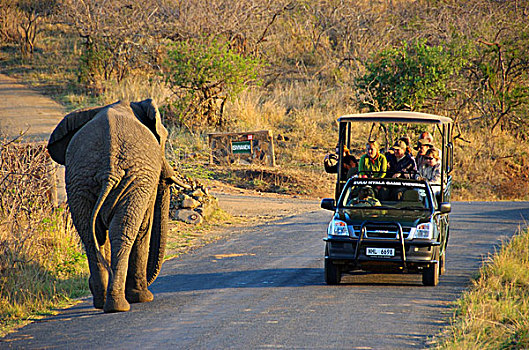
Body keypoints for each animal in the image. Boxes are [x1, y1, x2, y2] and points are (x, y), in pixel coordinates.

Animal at [47, 98, 177, 312]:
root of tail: (109, 171)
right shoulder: (145, 183)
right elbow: (144, 228)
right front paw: (142, 297)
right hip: (133, 179)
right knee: (122, 232)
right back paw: (120, 304)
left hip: (80, 180)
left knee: (90, 235)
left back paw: (102, 301)